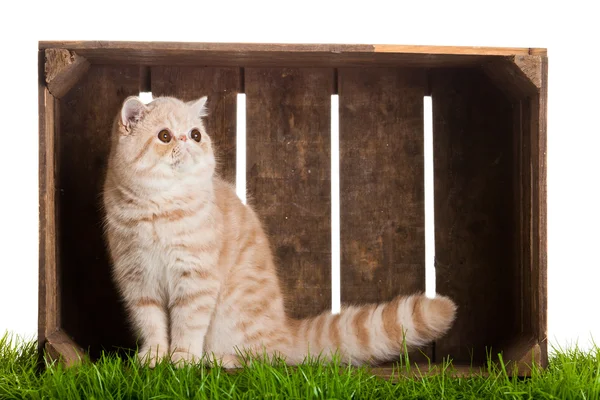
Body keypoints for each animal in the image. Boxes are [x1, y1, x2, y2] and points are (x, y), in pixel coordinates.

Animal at [103, 94, 458, 368]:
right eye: (165, 136)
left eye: (195, 135)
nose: (187, 143)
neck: (160, 207)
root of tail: (284, 329)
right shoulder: (138, 281)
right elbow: (151, 324)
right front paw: (154, 357)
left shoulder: (196, 279)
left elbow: (187, 323)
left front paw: (182, 358)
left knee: (264, 358)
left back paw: (219, 360)